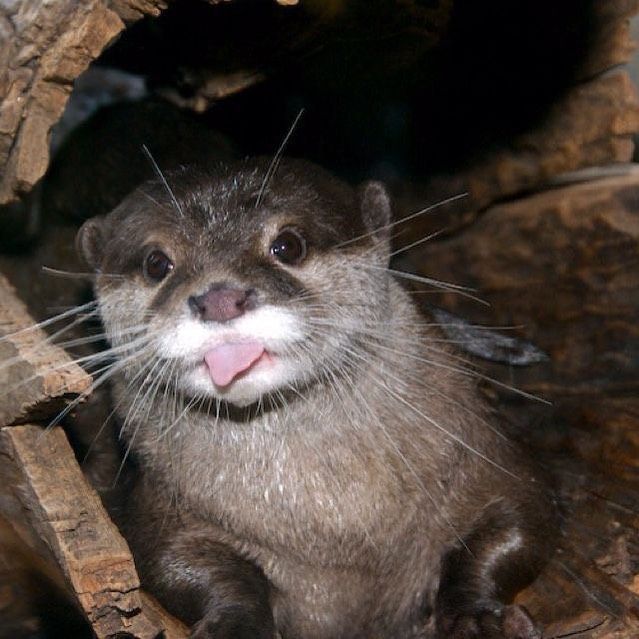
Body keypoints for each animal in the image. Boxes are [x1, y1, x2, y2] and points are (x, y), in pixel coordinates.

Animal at [75, 156, 556, 639]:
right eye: (157, 263)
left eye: (288, 245)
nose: (221, 298)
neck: (334, 529)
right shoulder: (164, 506)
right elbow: (177, 563)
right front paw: (235, 623)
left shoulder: (482, 451)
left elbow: (516, 520)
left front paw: (480, 618)